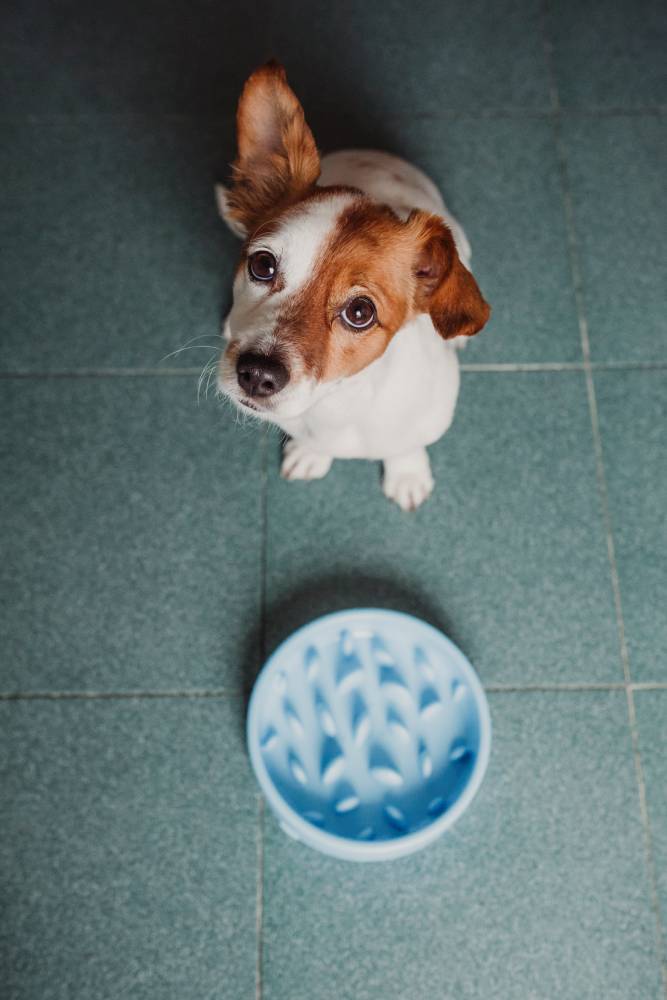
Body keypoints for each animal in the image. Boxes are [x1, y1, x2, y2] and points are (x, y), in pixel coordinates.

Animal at [215, 59, 490, 512]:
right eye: (262, 265)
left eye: (360, 312)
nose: (256, 374)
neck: (338, 403)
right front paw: (312, 454)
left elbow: (405, 445)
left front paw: (407, 472)